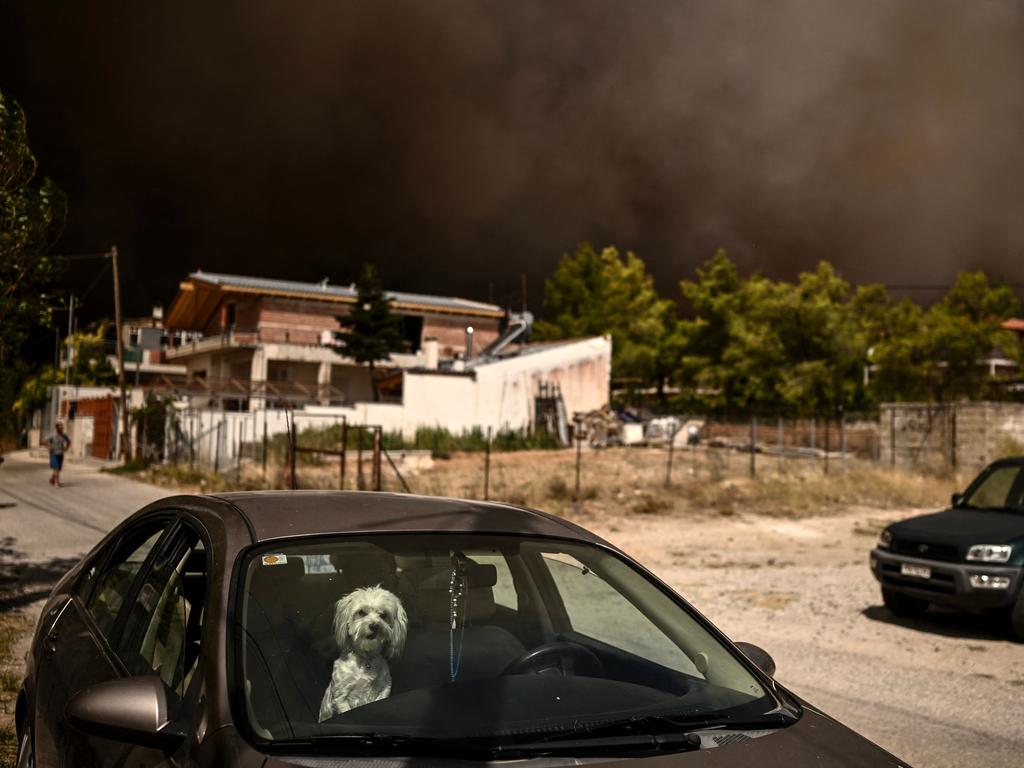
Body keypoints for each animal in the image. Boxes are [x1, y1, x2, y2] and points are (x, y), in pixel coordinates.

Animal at [317, 589, 405, 720]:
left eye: (383, 615)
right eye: (361, 612)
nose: (374, 625)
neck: (366, 657)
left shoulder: (384, 687)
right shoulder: (341, 696)